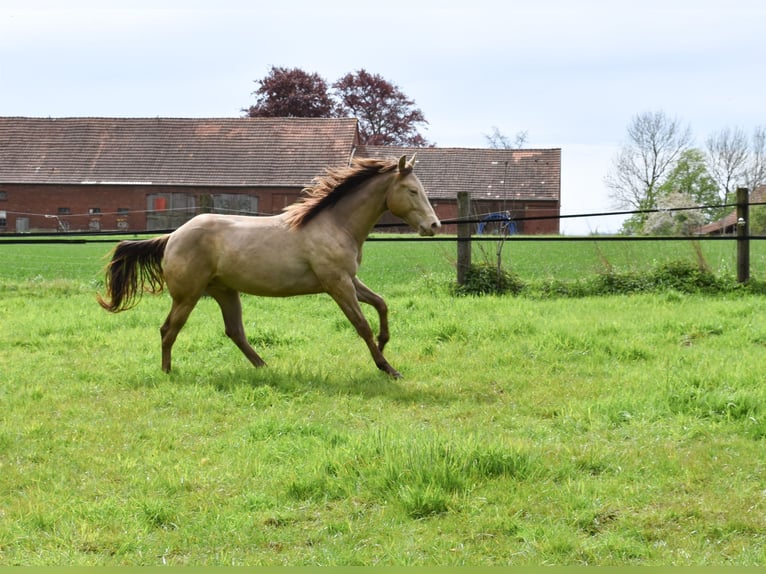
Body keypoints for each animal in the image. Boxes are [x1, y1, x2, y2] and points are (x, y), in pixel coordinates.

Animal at [99, 155, 440, 380]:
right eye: (412, 191)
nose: (433, 226)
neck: (335, 224)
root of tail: (172, 236)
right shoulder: (337, 283)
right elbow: (361, 324)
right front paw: (388, 368)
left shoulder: (348, 279)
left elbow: (381, 304)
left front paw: (384, 344)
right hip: (188, 296)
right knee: (169, 329)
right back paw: (168, 372)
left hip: (225, 291)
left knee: (234, 331)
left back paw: (264, 367)